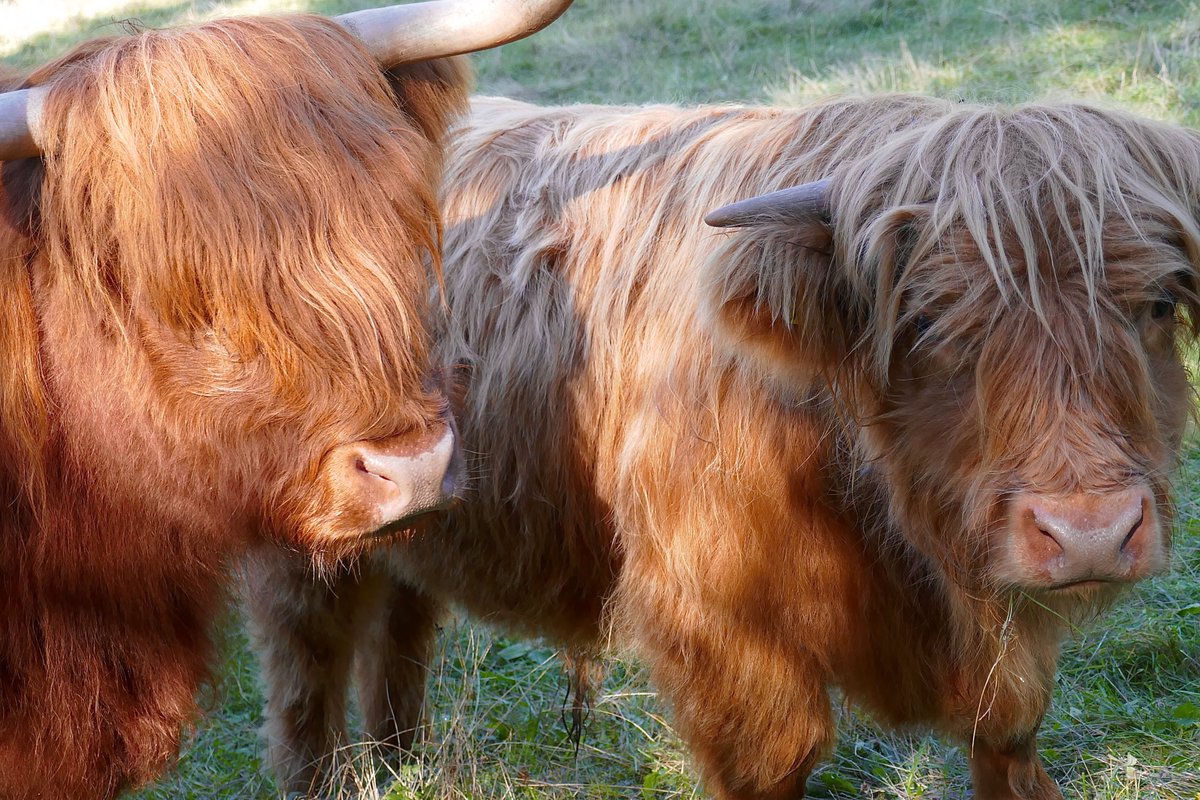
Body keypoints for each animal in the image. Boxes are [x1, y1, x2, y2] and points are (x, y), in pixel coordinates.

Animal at [246, 93, 1200, 799]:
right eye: (928, 322)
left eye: (1156, 304)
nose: (1089, 531)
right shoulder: (720, 624)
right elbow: (779, 756)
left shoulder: (1001, 638)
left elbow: (1009, 732)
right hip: (307, 527)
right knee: (307, 665)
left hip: (417, 516)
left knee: (401, 627)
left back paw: (401, 761)